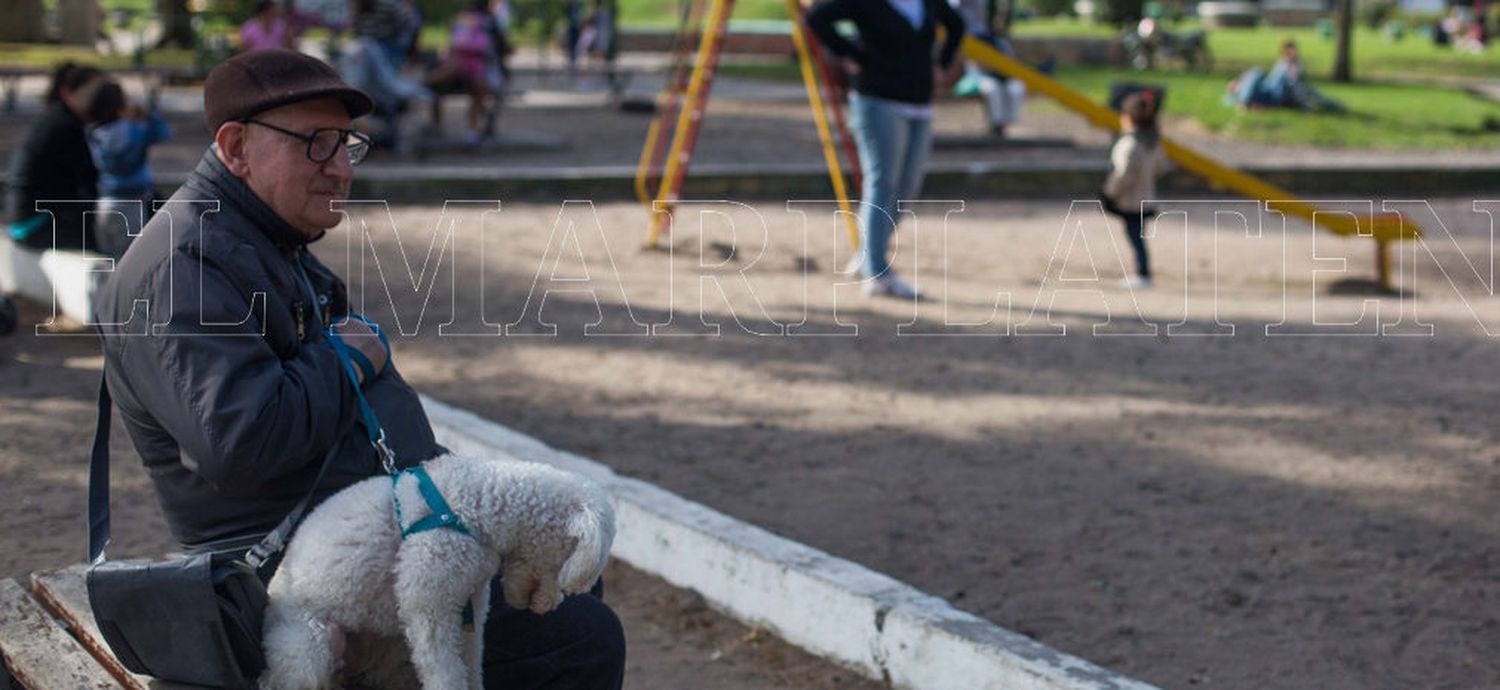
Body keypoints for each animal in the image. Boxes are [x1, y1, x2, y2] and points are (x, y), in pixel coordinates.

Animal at [259, 453, 615, 690]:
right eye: (564, 564)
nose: (549, 605)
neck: (476, 506)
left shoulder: (470, 604)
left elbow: (470, 663)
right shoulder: (429, 606)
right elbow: (446, 673)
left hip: (388, 650)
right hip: (310, 645)